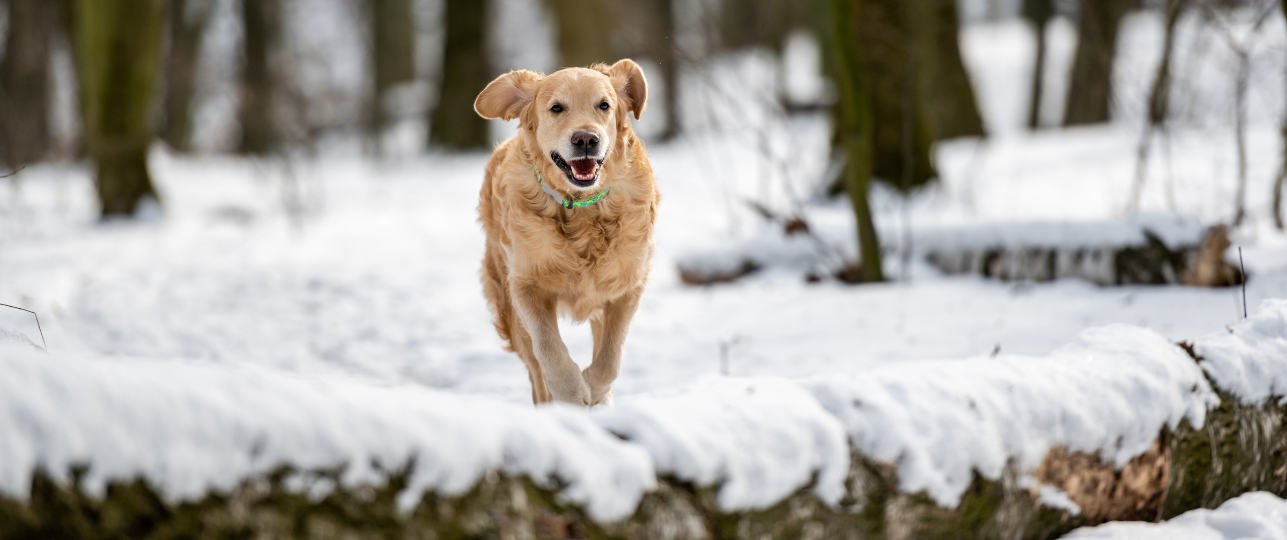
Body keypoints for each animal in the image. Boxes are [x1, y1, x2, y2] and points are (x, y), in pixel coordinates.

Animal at [473, 60, 658, 406]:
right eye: (556, 108)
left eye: (604, 105)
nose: (586, 139)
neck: (582, 210)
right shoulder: (524, 285)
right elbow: (549, 348)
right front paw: (572, 393)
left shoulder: (626, 286)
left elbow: (610, 358)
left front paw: (595, 390)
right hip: (507, 304)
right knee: (536, 368)